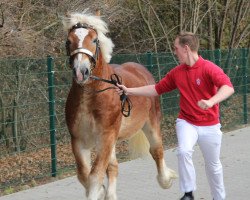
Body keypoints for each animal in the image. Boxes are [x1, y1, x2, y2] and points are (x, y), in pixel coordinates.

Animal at [62, 10, 177, 200]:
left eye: (94, 40)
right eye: (68, 41)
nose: (81, 72)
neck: (91, 95)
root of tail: (140, 69)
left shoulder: (106, 136)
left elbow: (95, 175)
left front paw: (97, 191)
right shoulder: (79, 140)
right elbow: (84, 175)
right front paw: (102, 192)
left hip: (151, 123)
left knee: (157, 150)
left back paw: (166, 179)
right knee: (113, 167)